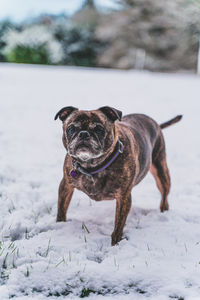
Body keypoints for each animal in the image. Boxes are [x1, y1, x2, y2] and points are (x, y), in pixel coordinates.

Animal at [54, 106, 182, 245]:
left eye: (99, 129)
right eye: (71, 128)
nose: (84, 134)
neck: (92, 167)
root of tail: (156, 124)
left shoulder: (123, 197)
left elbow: (118, 225)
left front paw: (115, 243)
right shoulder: (66, 185)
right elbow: (61, 209)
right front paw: (59, 225)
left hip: (161, 171)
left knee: (164, 195)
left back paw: (163, 211)